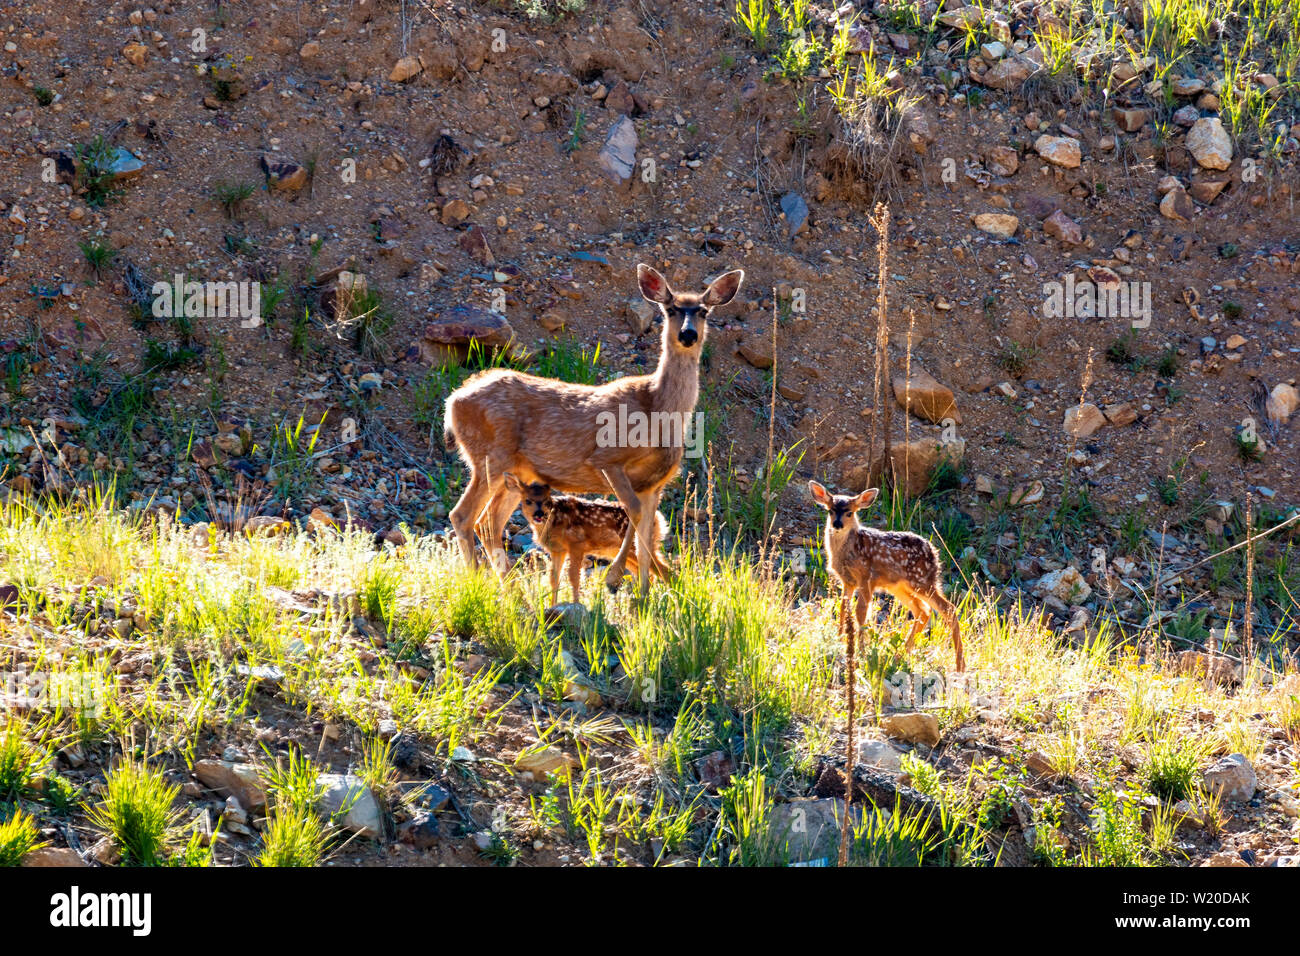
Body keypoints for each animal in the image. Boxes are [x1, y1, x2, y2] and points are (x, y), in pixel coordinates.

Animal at [504, 473, 669, 606]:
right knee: (648, 571)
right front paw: (552, 607)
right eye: (527, 501)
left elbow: (574, 577)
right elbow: (554, 579)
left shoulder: (577, 544)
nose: (538, 514)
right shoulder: (558, 550)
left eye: (546, 501)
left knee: (664, 568)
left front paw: (576, 605)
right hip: (618, 551)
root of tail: (658, 518)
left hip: (636, 547)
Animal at [809, 480, 964, 672]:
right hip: (900, 587)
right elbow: (843, 609)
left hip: (922, 581)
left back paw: (959, 665)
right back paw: (903, 652)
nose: (837, 524)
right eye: (830, 510)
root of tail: (934, 554)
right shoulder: (848, 581)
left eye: (849, 512)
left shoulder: (866, 577)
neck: (848, 551)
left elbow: (861, 613)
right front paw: (838, 640)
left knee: (948, 608)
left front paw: (861, 651)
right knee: (923, 610)